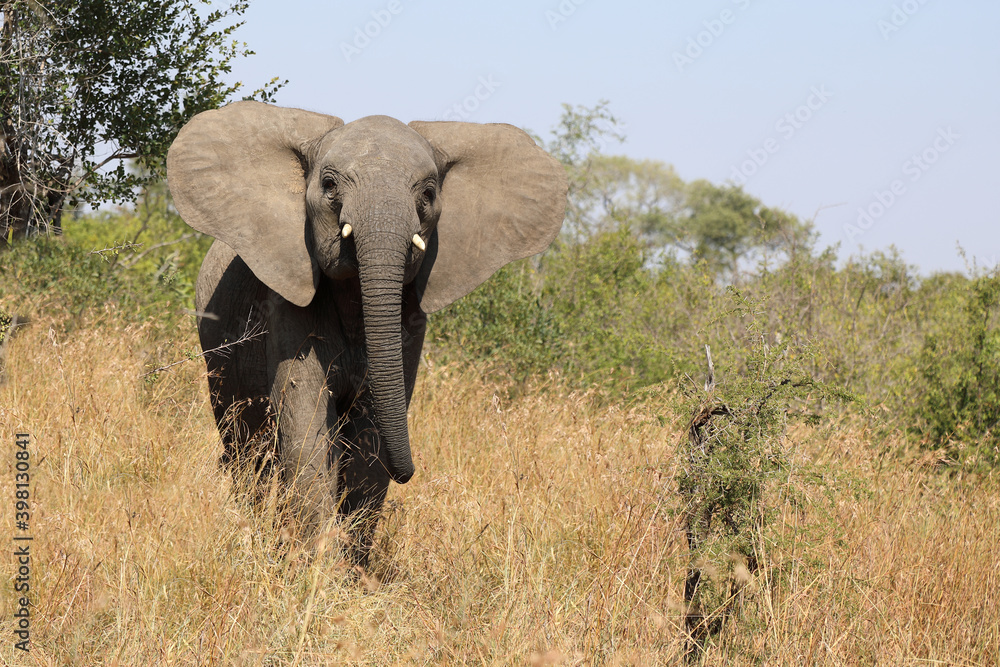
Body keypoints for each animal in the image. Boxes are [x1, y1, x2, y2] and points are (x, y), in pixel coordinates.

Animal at [166, 101, 567, 563]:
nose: (410, 471)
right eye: (328, 185)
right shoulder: (288, 303)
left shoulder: (409, 318)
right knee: (247, 448)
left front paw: (352, 569)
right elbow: (304, 419)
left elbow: (371, 438)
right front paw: (317, 566)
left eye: (428, 194)